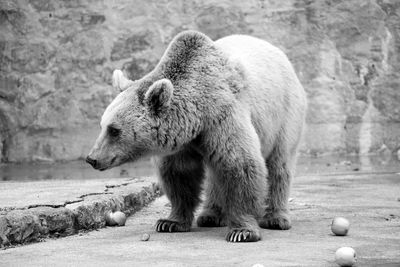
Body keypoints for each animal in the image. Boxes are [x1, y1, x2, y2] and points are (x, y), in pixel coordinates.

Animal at [86, 29, 306, 243]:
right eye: (102, 125)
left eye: (114, 130)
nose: (92, 158)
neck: (196, 118)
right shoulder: (180, 142)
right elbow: (179, 175)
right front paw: (170, 222)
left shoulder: (222, 116)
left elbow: (240, 164)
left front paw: (242, 231)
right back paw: (211, 215)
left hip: (284, 114)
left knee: (280, 164)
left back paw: (276, 218)